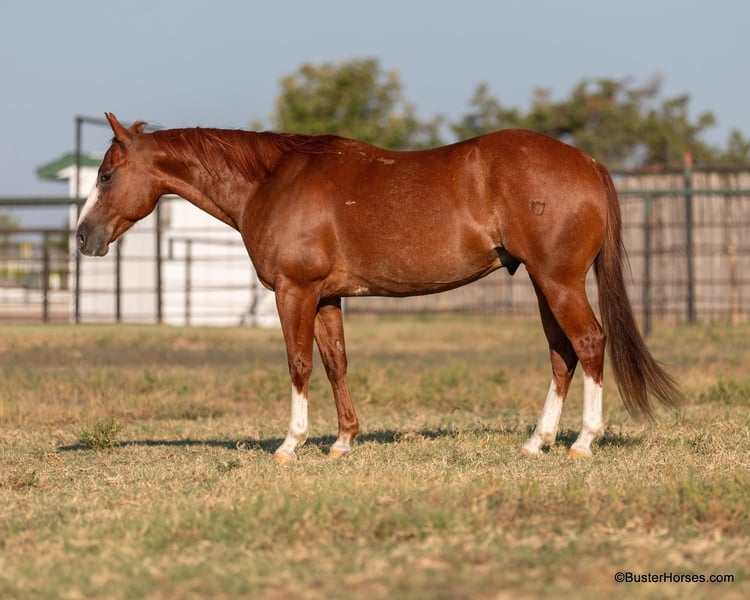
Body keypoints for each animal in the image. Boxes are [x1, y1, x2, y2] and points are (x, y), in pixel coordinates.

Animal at [77, 113, 683, 461]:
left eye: (106, 175)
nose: (83, 237)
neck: (272, 181)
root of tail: (587, 162)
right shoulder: (325, 296)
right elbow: (335, 362)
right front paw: (344, 441)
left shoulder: (294, 291)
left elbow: (299, 363)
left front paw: (291, 444)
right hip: (542, 283)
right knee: (562, 353)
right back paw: (538, 441)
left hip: (558, 282)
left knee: (589, 343)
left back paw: (583, 441)